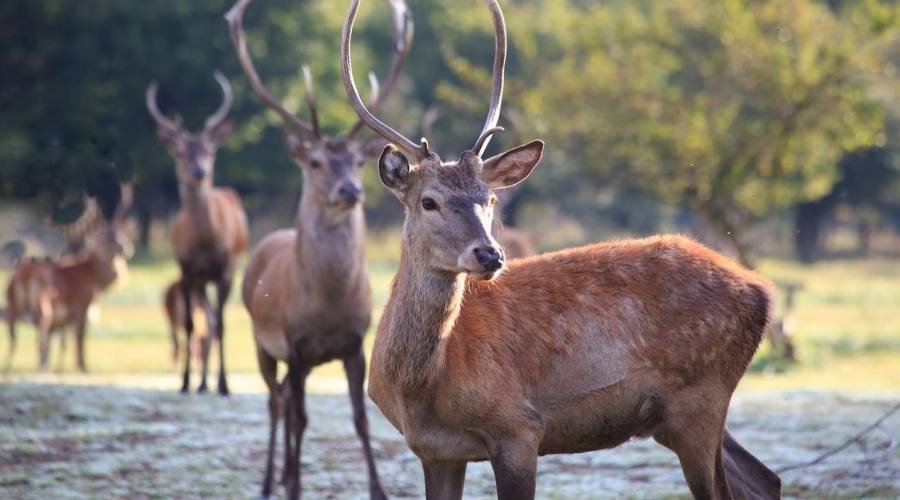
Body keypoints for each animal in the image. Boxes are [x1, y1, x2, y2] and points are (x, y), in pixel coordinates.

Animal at [3, 191, 132, 372]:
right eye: (105, 236)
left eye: (123, 234)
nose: (126, 248)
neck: (95, 280)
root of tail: (24, 276)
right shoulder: (82, 305)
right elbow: (80, 339)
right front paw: (83, 367)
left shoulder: (65, 320)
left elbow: (63, 343)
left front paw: (61, 366)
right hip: (43, 306)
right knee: (40, 334)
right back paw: (40, 367)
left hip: (12, 304)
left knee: (13, 336)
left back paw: (10, 366)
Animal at [147, 71, 248, 394]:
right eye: (180, 152)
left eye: (210, 150)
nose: (199, 171)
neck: (205, 243)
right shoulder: (186, 269)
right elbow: (192, 324)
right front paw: (186, 382)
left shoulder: (226, 270)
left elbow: (221, 325)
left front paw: (225, 384)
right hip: (199, 282)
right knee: (204, 324)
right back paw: (201, 382)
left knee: (214, 323)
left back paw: (210, 382)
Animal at [225, 0, 412, 496]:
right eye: (315, 161)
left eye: (357, 162)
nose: (351, 190)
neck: (326, 305)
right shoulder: (294, 344)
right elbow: (300, 417)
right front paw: (294, 485)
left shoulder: (354, 343)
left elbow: (361, 419)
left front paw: (379, 489)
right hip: (261, 342)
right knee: (278, 404)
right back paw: (272, 479)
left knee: (287, 402)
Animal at [342, 0, 780, 500]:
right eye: (428, 201)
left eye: (490, 199)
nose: (489, 255)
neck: (420, 387)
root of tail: (761, 290)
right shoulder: (436, 451)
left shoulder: (519, 427)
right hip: (676, 416)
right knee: (763, 477)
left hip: (700, 396)